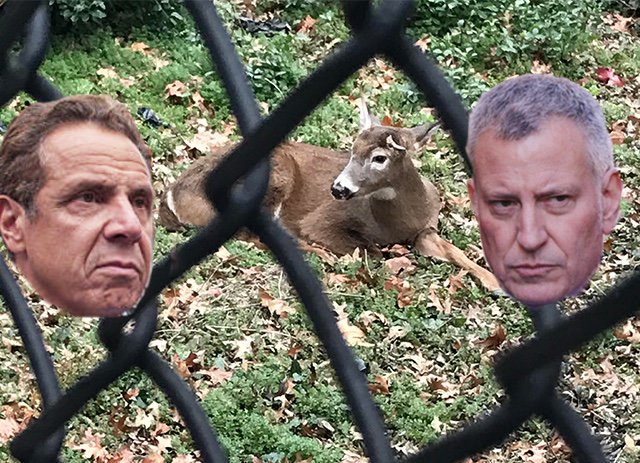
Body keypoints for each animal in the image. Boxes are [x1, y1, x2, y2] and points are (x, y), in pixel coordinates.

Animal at [158, 102, 500, 292]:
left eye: (379, 158)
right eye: (351, 149)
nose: (338, 189)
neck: (398, 222)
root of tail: (173, 195)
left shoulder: (425, 229)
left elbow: (455, 251)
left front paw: (494, 282)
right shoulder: (323, 220)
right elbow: (370, 251)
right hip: (273, 175)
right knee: (256, 235)